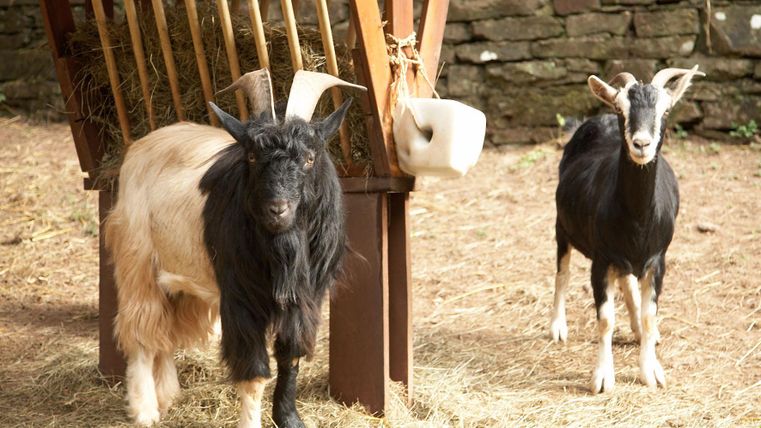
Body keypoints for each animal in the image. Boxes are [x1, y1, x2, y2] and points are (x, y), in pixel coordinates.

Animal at [104, 69, 365, 427]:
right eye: (252, 156)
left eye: (310, 158)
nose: (277, 209)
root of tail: (141, 146)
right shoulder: (240, 299)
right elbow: (254, 374)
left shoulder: (306, 299)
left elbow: (290, 357)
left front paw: (289, 419)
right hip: (137, 258)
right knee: (142, 329)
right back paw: (145, 410)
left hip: (179, 278)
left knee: (164, 333)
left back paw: (168, 394)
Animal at [550, 66, 704, 393]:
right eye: (621, 109)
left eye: (666, 109)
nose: (641, 144)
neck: (637, 221)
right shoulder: (601, 259)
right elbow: (605, 319)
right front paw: (603, 377)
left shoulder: (658, 260)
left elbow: (649, 315)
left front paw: (651, 370)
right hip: (562, 226)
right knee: (562, 271)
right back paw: (557, 326)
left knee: (627, 281)